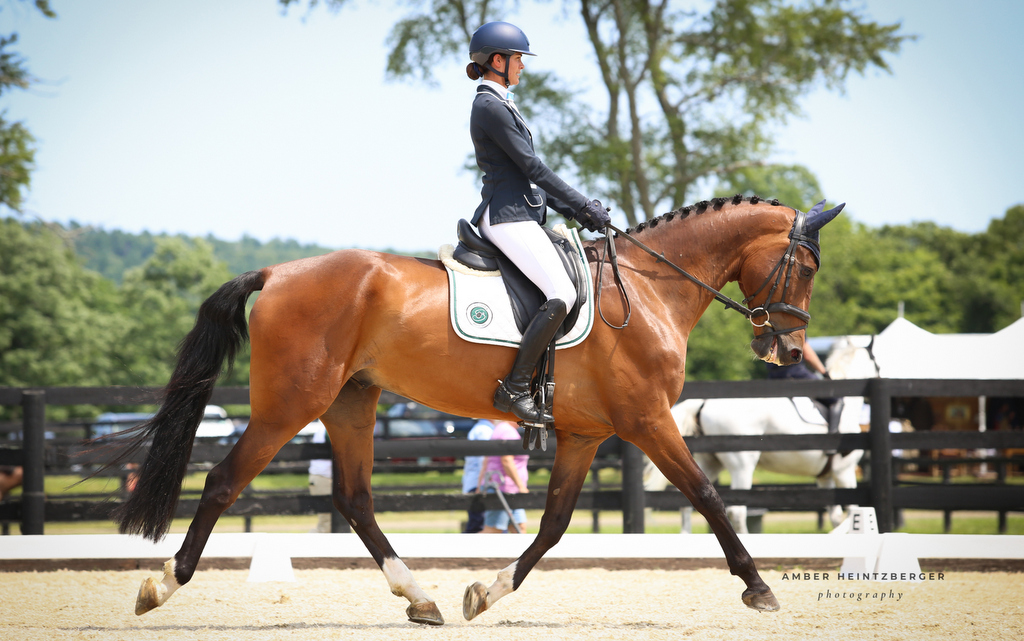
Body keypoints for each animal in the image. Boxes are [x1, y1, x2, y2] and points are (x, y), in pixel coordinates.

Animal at [103, 195, 844, 625]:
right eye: (807, 266)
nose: (788, 348)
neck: (649, 288)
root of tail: (278, 272)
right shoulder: (648, 421)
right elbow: (710, 495)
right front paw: (758, 586)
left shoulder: (583, 433)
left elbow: (553, 525)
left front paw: (485, 592)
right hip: (290, 404)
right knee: (224, 481)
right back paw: (161, 586)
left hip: (351, 402)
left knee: (355, 498)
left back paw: (422, 598)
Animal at [644, 336, 878, 533]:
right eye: (877, 363)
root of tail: (703, 402)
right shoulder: (844, 472)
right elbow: (852, 511)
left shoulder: (825, 476)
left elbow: (836, 516)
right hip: (742, 465)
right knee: (737, 511)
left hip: (709, 462)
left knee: (690, 503)